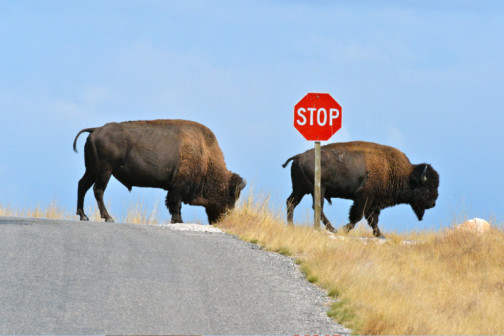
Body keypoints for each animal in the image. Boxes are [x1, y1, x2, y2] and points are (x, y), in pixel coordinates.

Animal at [73, 119, 246, 224]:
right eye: (231, 196)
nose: (224, 219)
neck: (204, 154)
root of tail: (95, 130)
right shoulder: (178, 187)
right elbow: (175, 204)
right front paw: (178, 220)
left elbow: (175, 204)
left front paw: (177, 220)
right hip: (104, 171)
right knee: (98, 190)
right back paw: (108, 218)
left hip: (92, 170)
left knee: (82, 185)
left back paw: (83, 216)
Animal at [282, 140, 440, 238]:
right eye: (427, 187)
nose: (433, 204)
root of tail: (299, 156)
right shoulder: (364, 198)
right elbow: (357, 216)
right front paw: (345, 229)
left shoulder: (374, 203)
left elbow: (372, 219)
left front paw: (380, 235)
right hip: (319, 189)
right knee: (316, 207)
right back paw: (332, 229)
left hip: (300, 189)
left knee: (291, 202)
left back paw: (291, 226)